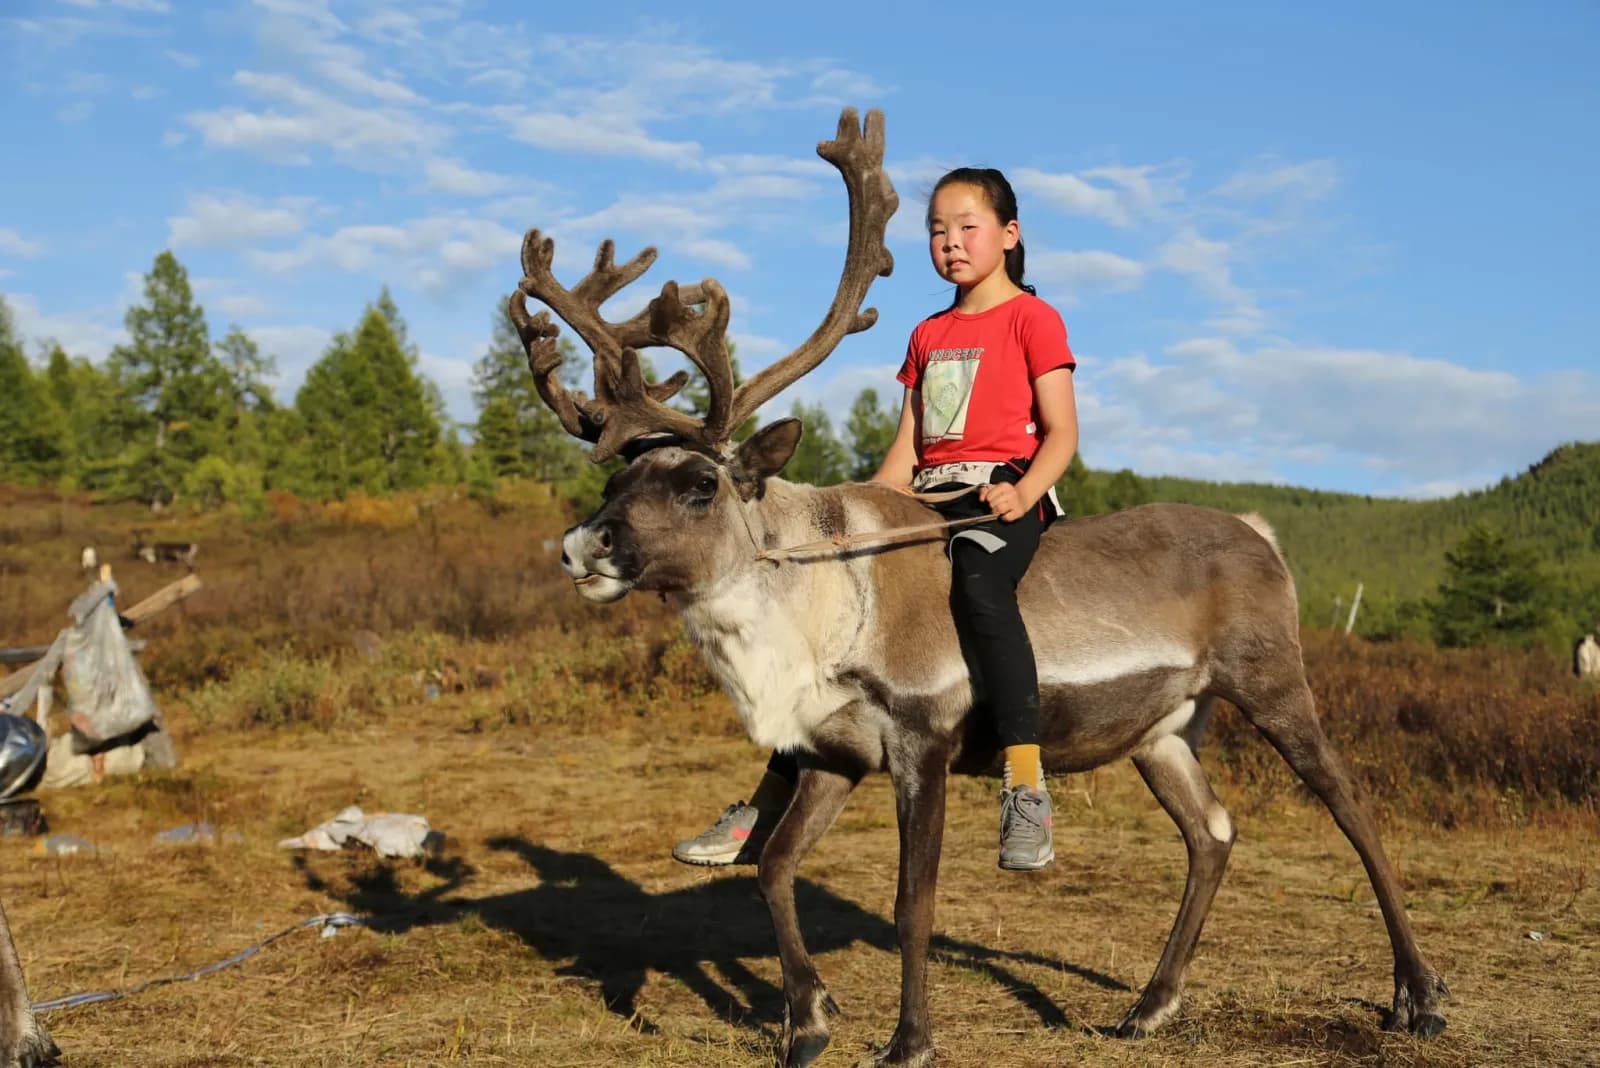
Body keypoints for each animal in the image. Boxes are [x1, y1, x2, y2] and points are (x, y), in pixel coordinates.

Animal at [509, 108, 1449, 1067]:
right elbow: (772, 866)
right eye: (617, 478)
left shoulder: (923, 737)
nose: (580, 545)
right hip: (1162, 729)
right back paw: (1150, 1006)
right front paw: (808, 1018)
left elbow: (911, 903)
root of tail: (1263, 535)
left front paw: (908, 1041)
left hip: (1271, 679)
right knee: (1212, 833)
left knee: (1353, 806)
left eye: (700, 484)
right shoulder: (832, 752)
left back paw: (1417, 996)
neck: (820, 612)